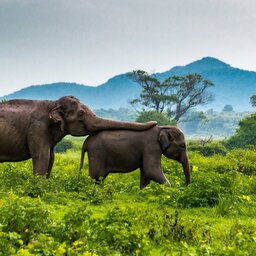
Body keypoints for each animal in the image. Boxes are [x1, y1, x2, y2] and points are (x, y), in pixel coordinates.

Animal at [0, 96, 156, 176]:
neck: (53, 103)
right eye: (81, 114)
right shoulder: (37, 127)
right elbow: (42, 156)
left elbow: (51, 158)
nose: (154, 123)